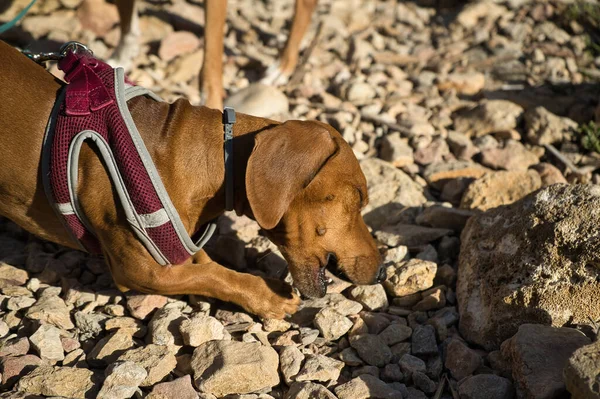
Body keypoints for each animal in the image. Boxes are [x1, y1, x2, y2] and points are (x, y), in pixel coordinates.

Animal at [0, 40, 384, 320]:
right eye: (357, 198)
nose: (382, 274)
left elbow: (206, 263)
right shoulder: (142, 271)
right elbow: (213, 275)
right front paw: (266, 294)